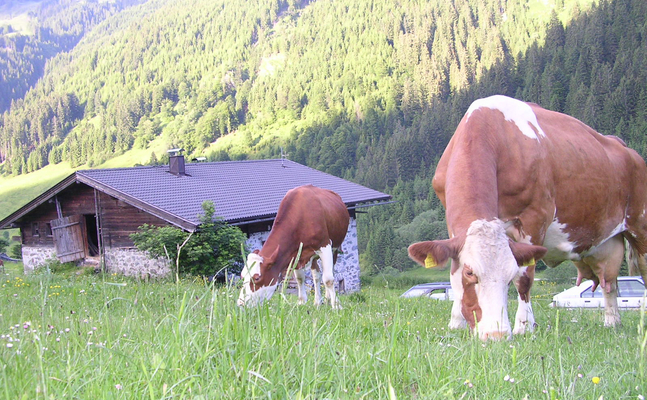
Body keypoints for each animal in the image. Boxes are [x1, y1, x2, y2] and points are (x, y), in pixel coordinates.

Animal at [410, 95, 647, 340]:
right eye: (470, 272)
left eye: (508, 275)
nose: (497, 335)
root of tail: (627, 149)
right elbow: (452, 270)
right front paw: (456, 323)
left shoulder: (535, 217)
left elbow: (524, 278)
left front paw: (523, 326)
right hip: (606, 242)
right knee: (610, 282)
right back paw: (612, 322)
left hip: (640, 224)